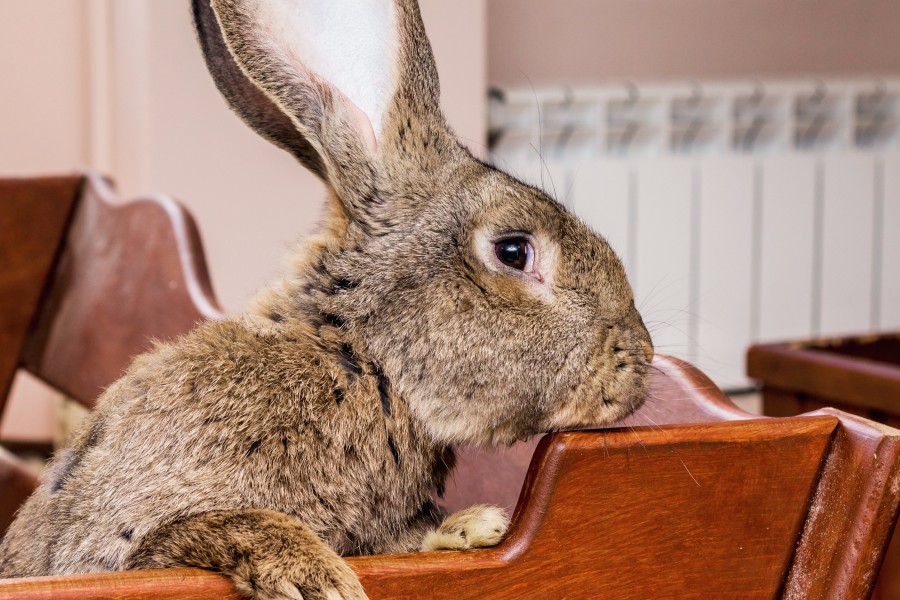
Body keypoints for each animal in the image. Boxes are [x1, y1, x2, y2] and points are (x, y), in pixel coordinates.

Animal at [0, 1, 652, 600]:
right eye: (514, 251)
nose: (641, 361)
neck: (358, 358)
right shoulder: (116, 548)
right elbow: (199, 529)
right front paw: (316, 576)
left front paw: (470, 529)